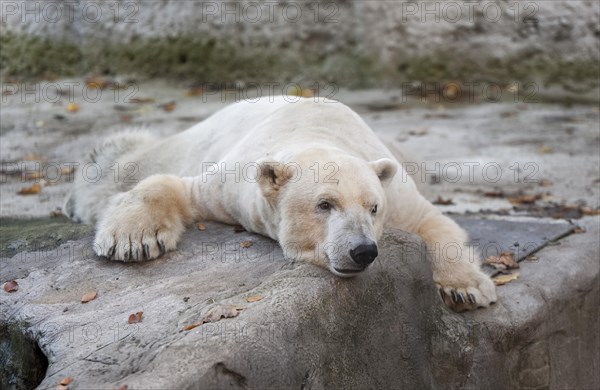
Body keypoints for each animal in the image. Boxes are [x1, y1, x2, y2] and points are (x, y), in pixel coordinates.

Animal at [65, 96, 496, 310]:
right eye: (325, 204)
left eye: (373, 208)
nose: (363, 250)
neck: (316, 130)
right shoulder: (230, 186)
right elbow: (172, 186)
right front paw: (132, 241)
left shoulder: (397, 192)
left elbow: (434, 222)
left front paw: (465, 289)